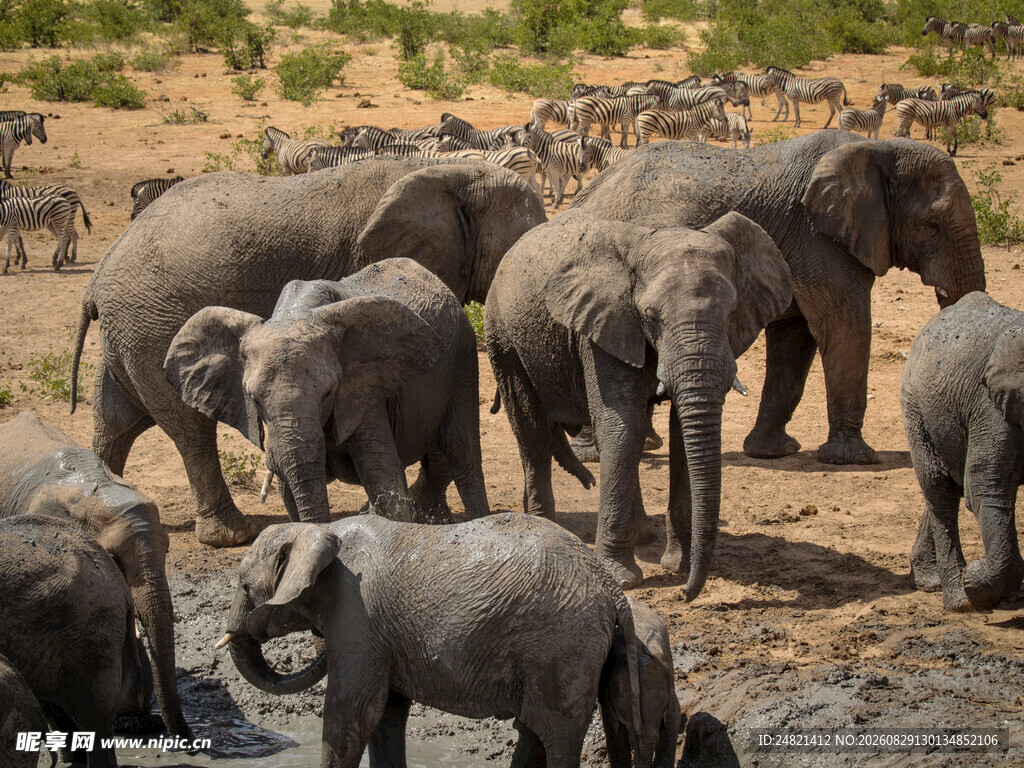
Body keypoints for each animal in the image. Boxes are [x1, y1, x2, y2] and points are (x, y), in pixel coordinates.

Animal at [164, 259, 488, 525]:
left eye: (328, 393)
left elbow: (382, 475)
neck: (297, 312)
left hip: (463, 358)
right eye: (254, 400)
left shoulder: (364, 389)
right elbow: (289, 490)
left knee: (461, 451)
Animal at [217, 513, 642, 768]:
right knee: (538, 730)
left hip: (561, 647)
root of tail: (610, 587)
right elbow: (386, 712)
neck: (319, 529)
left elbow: (352, 710)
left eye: (244, 586)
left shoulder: (357, 617)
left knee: (557, 735)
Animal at [484, 209, 792, 591]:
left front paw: (679, 565)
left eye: (731, 312)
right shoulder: (602, 325)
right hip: (503, 335)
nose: (687, 593)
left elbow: (680, 436)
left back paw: (643, 534)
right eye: (650, 317)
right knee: (532, 431)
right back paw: (546, 527)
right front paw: (622, 578)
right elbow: (622, 428)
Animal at [570, 132, 987, 466]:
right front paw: (853, 459)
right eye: (933, 225)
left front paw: (773, 451)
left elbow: (794, 338)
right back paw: (598, 452)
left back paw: (643, 444)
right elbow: (845, 326)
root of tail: (588, 193)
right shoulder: (819, 240)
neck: (877, 147)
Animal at [900, 291, 1024, 611]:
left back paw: (930, 581)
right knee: (940, 490)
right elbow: (984, 490)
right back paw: (958, 599)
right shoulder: (993, 410)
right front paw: (976, 583)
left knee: (945, 487)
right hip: (915, 407)